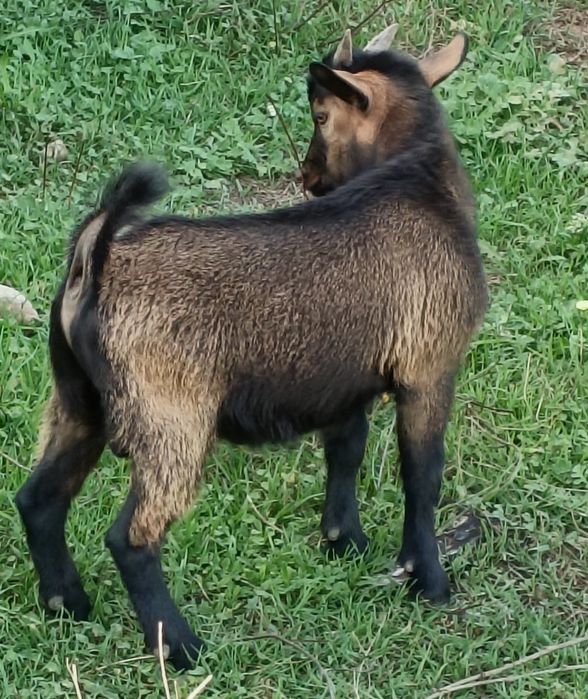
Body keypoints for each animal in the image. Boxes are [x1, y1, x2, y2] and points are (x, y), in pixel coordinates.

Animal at [16, 28, 487, 670]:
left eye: (319, 114)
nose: (309, 177)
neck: (421, 188)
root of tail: (95, 262)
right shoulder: (429, 366)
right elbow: (423, 474)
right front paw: (429, 581)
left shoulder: (348, 378)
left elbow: (346, 449)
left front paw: (344, 541)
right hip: (171, 419)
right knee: (131, 535)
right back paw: (181, 646)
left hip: (76, 401)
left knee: (38, 499)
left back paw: (67, 603)